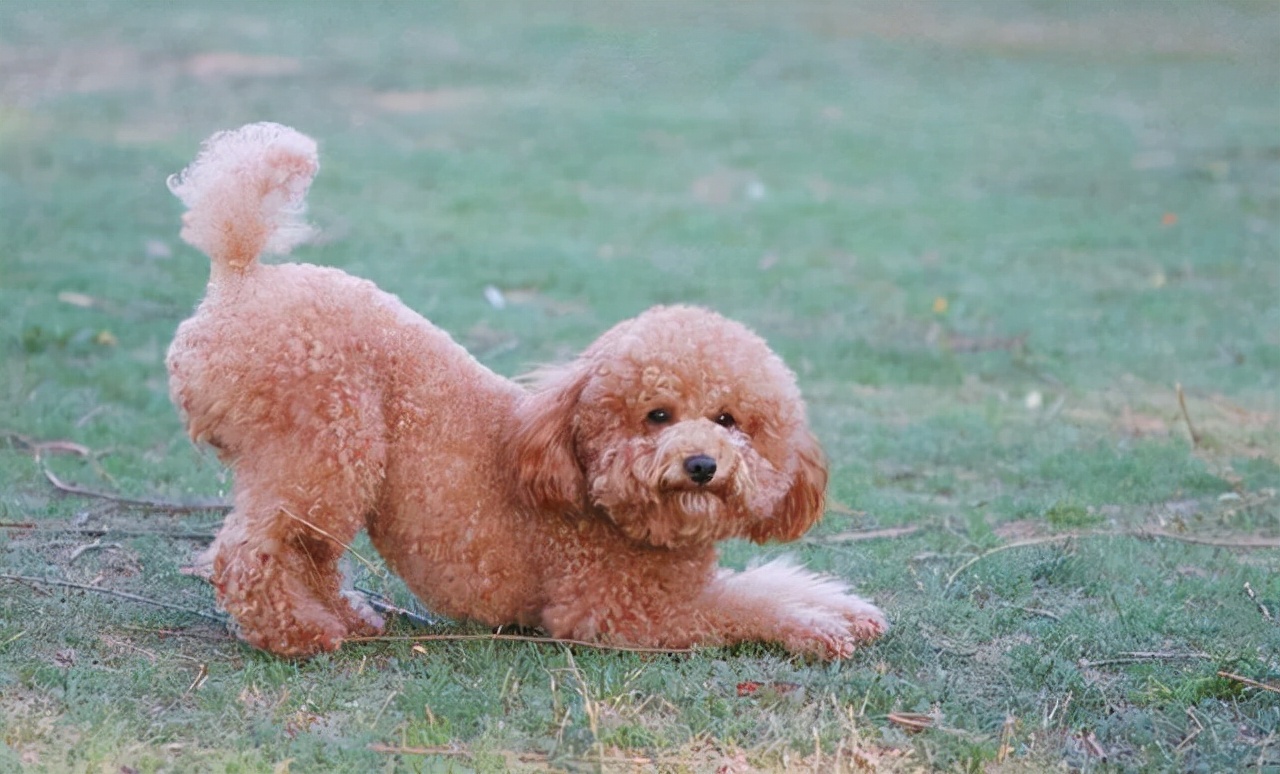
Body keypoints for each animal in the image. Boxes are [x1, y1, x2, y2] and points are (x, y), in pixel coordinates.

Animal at [165, 123, 885, 655]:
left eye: (730, 419)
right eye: (657, 415)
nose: (702, 464)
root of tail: (238, 278)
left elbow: (767, 582)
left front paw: (845, 610)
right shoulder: (618, 610)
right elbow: (739, 608)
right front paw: (815, 628)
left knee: (307, 551)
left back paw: (344, 618)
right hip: (325, 441)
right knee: (250, 551)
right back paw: (299, 634)